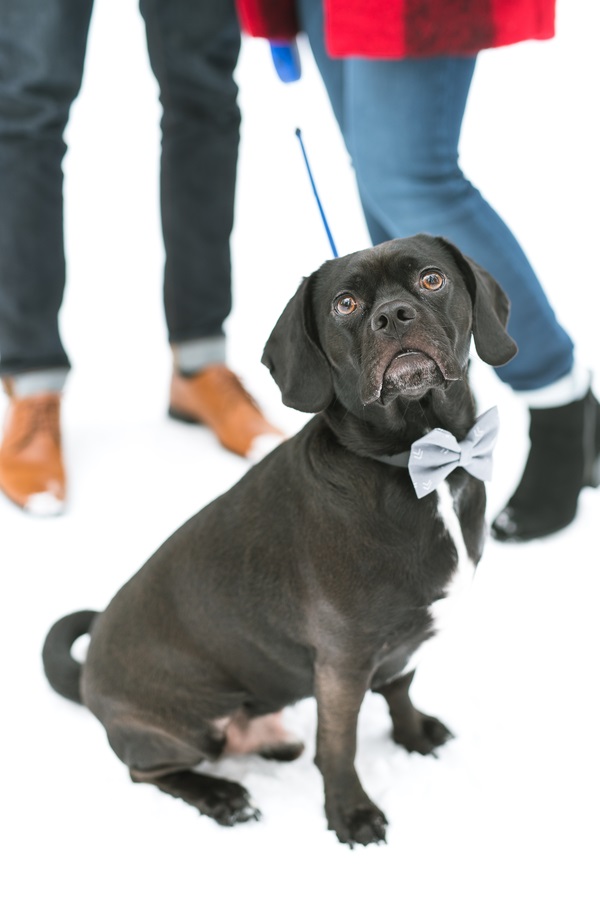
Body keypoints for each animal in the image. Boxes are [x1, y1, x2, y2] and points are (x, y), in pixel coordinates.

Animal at [42, 234, 517, 847]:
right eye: (345, 305)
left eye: (432, 279)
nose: (393, 315)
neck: (415, 462)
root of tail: (87, 678)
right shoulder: (342, 663)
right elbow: (338, 746)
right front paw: (350, 815)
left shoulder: (405, 639)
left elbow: (402, 689)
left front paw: (414, 736)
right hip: (184, 729)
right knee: (146, 771)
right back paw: (221, 796)